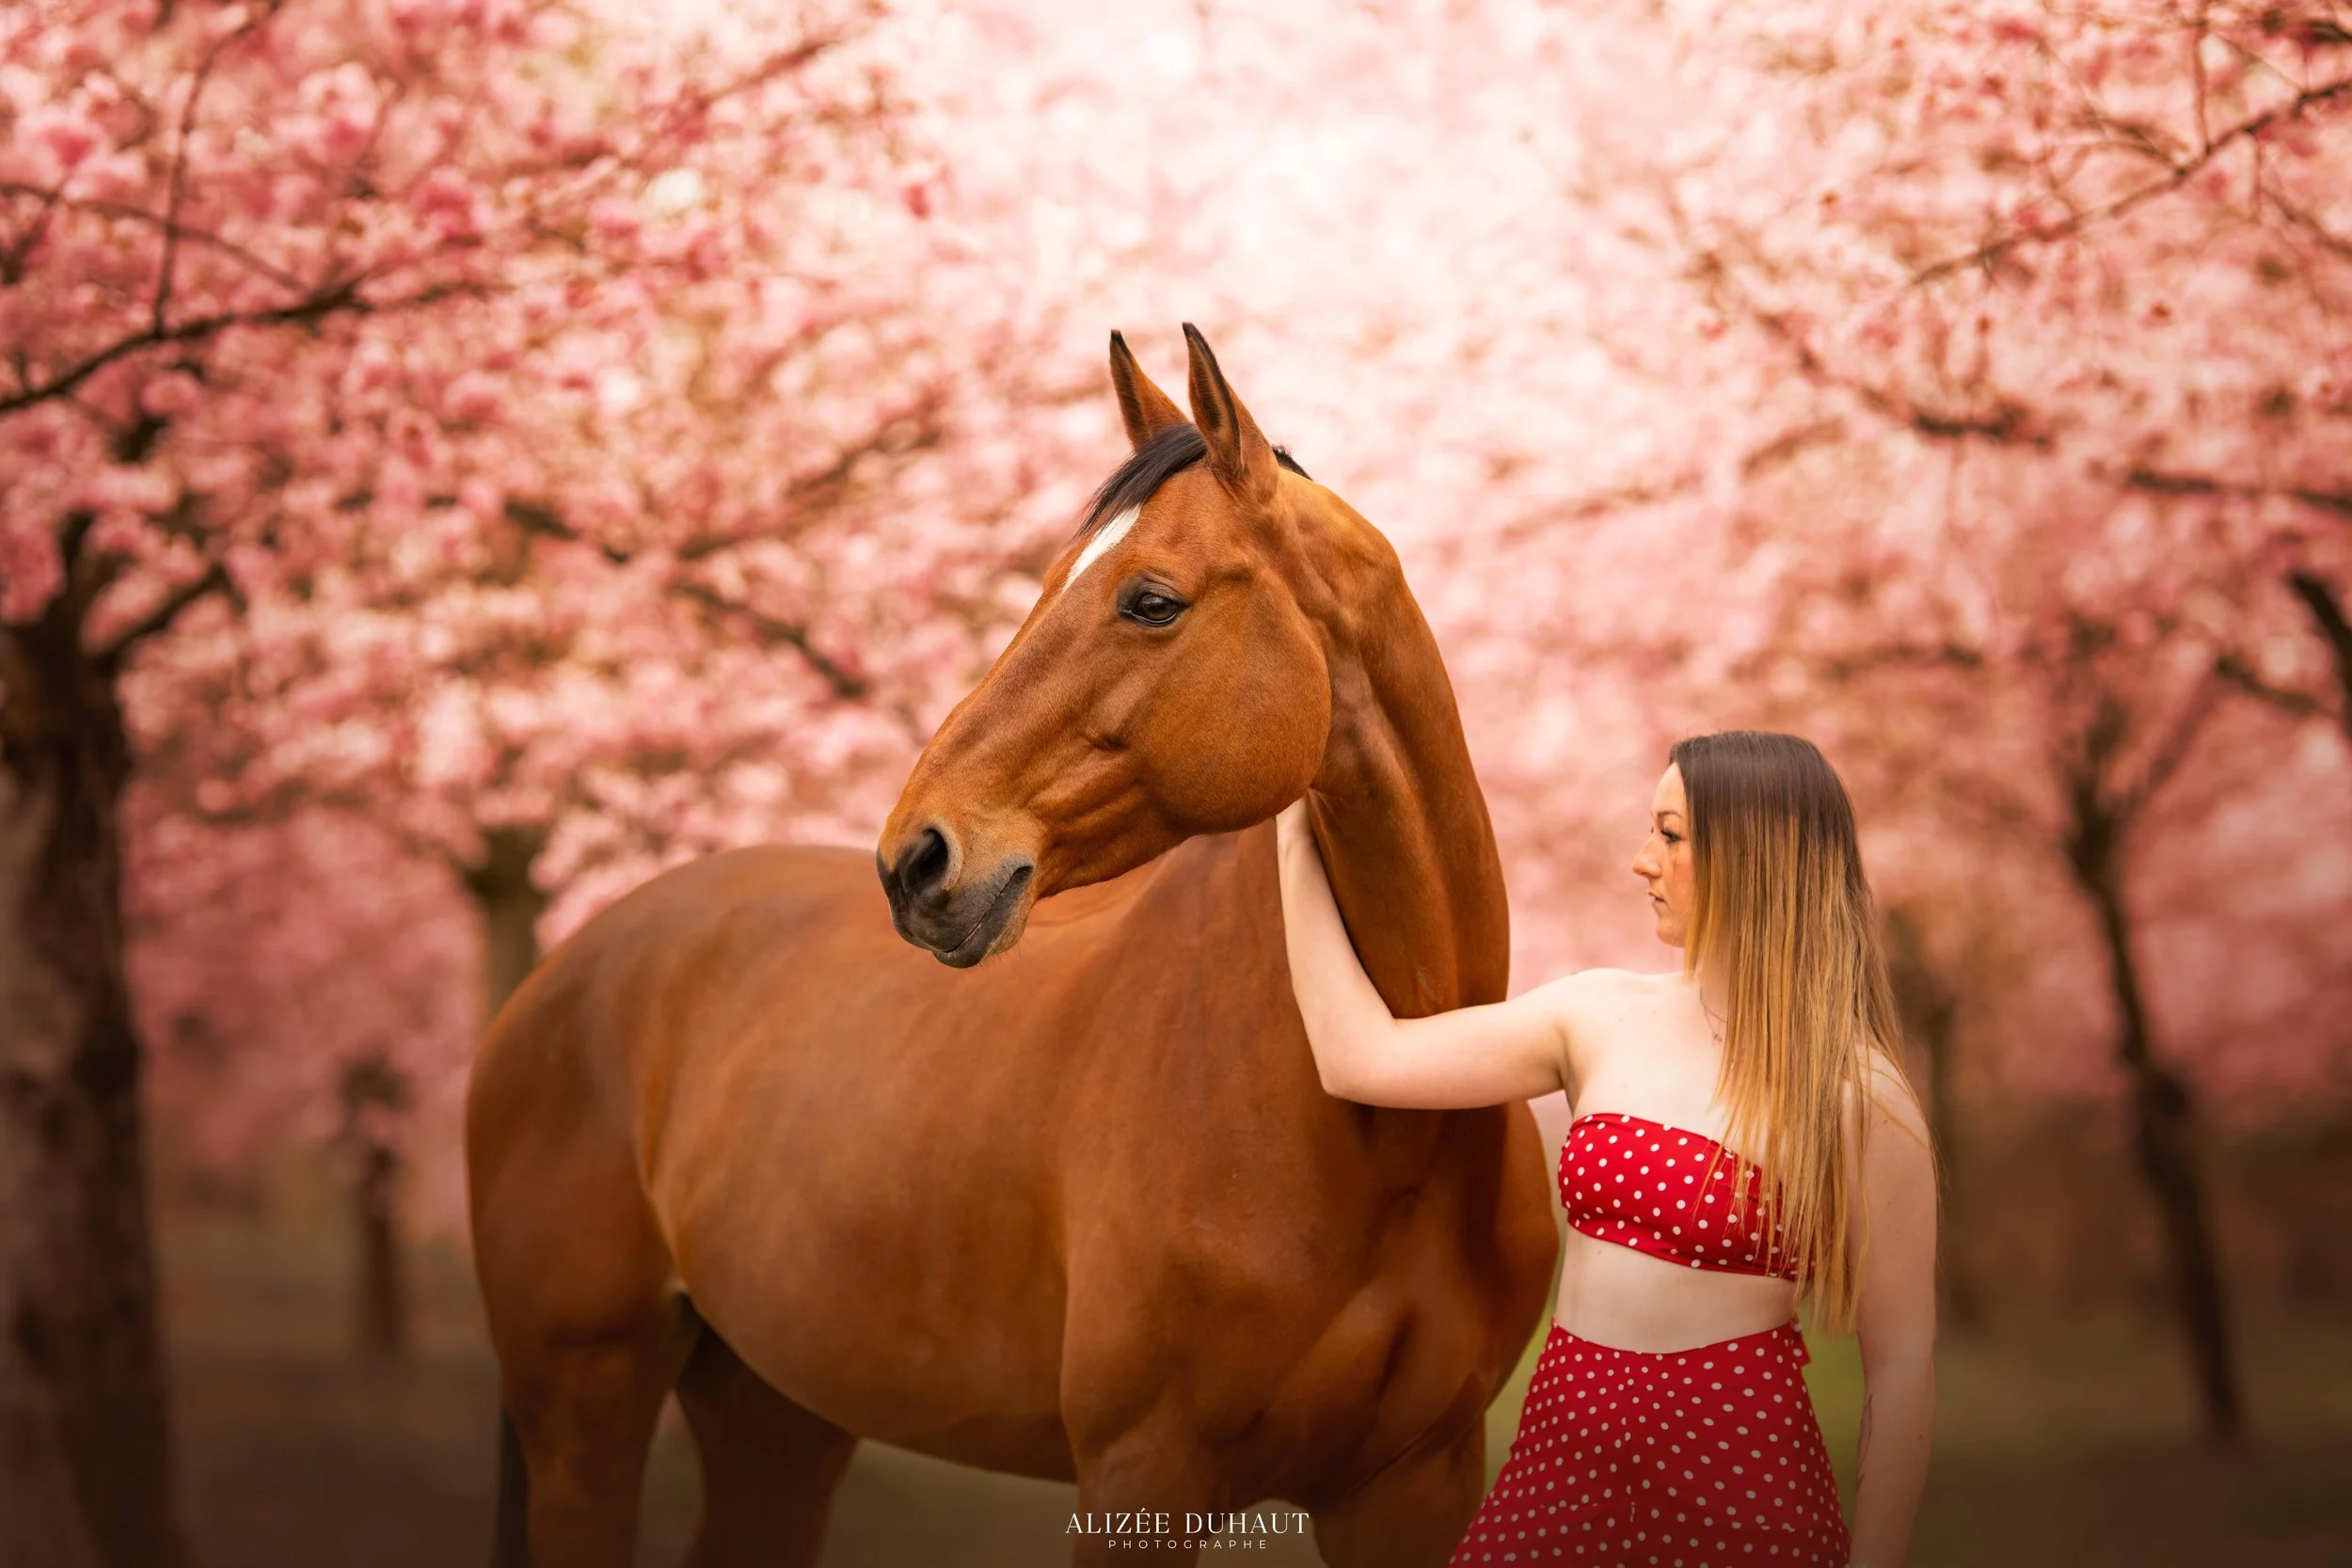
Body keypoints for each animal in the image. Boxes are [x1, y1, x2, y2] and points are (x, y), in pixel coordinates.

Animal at [464, 324, 1559, 1568]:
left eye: (1150, 599)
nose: (915, 860)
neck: (1384, 1116)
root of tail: (563, 970)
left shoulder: (1412, 1483)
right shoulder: (1142, 1473)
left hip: (774, 1410)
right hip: (585, 1403)